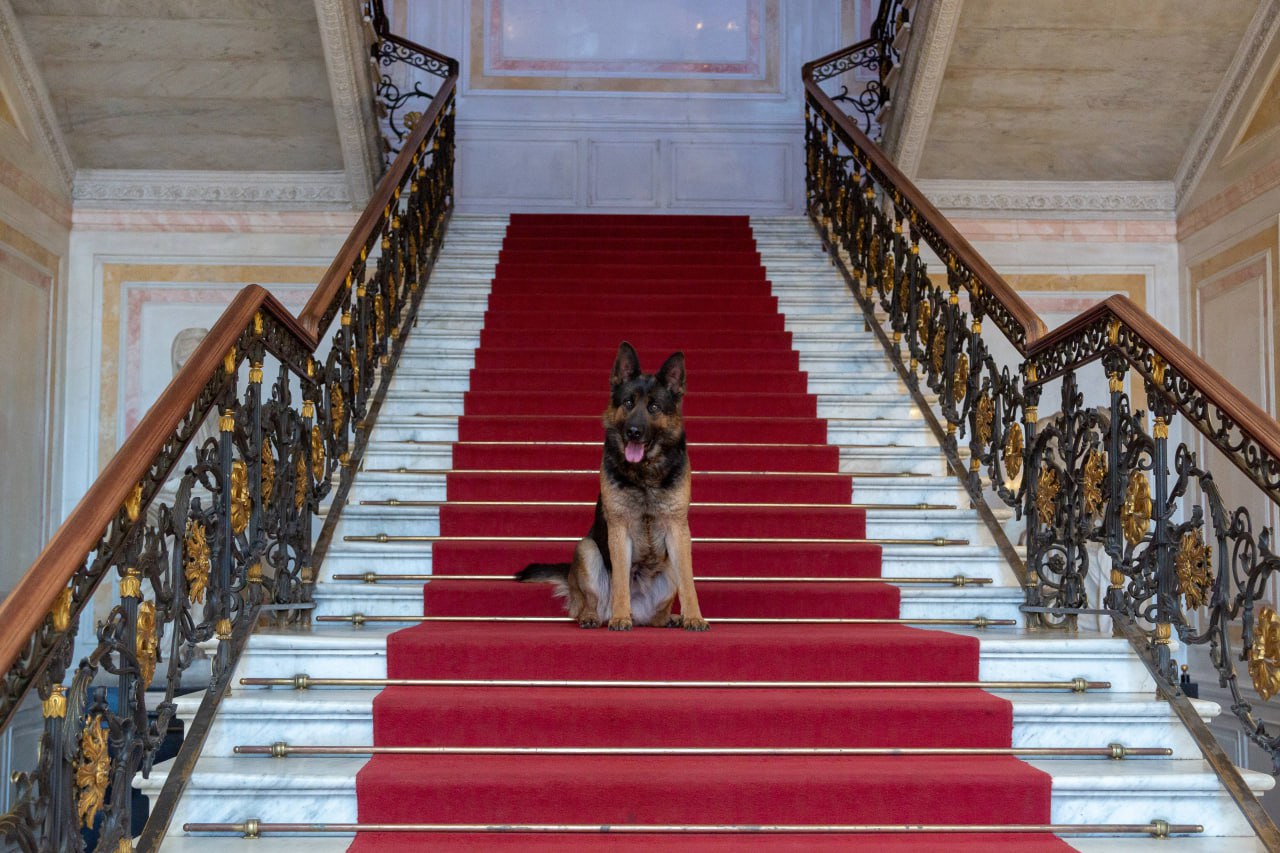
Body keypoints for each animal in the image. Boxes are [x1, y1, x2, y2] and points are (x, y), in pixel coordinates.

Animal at [512, 343, 711, 627]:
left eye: (654, 407)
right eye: (628, 403)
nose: (633, 432)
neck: (644, 473)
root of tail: (640, 611)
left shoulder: (678, 530)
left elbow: (689, 583)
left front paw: (693, 617)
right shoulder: (618, 529)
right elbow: (620, 581)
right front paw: (620, 617)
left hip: (668, 566)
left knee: (658, 616)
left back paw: (669, 618)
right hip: (586, 549)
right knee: (590, 601)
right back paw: (596, 616)